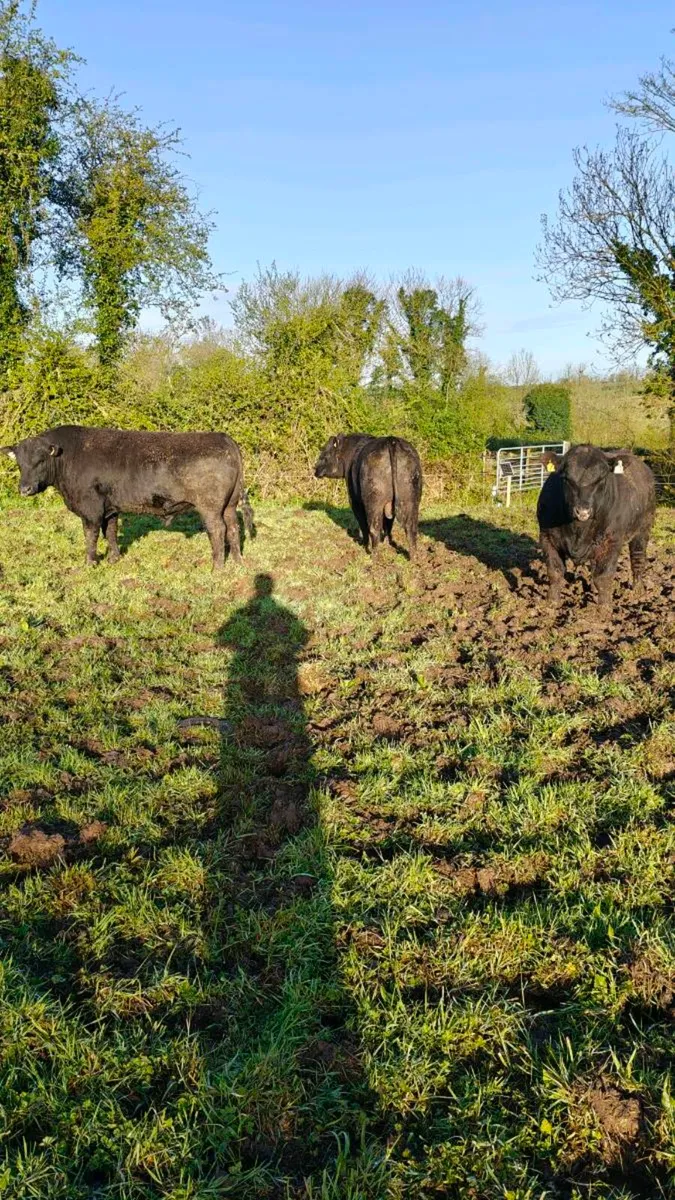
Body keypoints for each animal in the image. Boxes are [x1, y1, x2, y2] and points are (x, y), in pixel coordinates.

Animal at [2, 425, 254, 569]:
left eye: (40, 460)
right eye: (20, 463)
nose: (25, 489)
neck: (70, 456)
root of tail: (224, 438)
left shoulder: (91, 509)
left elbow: (91, 535)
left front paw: (90, 563)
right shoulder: (110, 508)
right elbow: (111, 532)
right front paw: (114, 559)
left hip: (210, 507)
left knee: (218, 530)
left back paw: (217, 567)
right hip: (229, 505)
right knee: (233, 528)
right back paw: (238, 561)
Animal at [537, 443, 656, 608]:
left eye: (601, 479)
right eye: (566, 478)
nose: (582, 511)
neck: (578, 530)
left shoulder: (612, 541)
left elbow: (604, 577)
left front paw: (603, 609)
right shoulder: (546, 536)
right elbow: (555, 571)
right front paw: (551, 604)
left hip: (643, 529)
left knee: (637, 559)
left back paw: (638, 591)